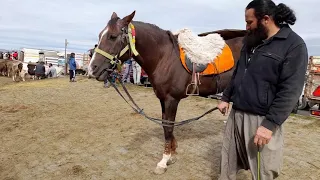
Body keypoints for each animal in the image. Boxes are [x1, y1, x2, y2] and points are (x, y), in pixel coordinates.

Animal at [87, 11, 245, 174]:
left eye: (112, 36)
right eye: (99, 35)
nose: (92, 69)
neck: (165, 57)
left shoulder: (171, 99)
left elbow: (168, 127)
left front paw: (163, 161)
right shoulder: (163, 99)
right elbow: (165, 125)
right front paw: (172, 154)